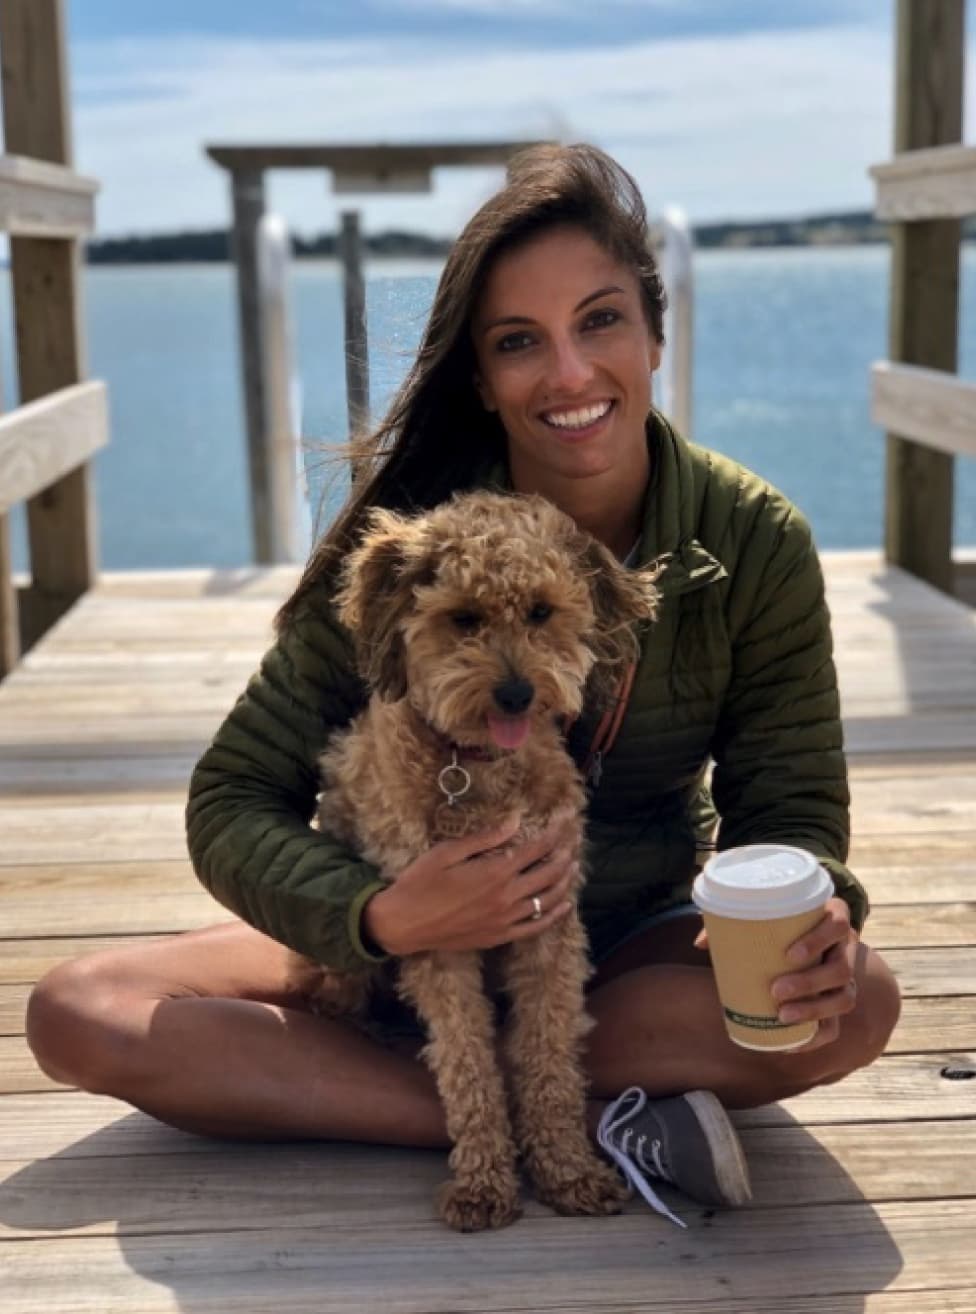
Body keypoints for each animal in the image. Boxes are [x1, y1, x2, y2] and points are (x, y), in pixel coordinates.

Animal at [294, 491, 664, 1229]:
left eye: (542, 611)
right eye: (463, 617)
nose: (517, 694)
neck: (474, 767)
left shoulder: (549, 921)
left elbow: (549, 1055)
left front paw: (566, 1169)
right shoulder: (436, 932)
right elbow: (467, 1062)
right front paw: (484, 1181)